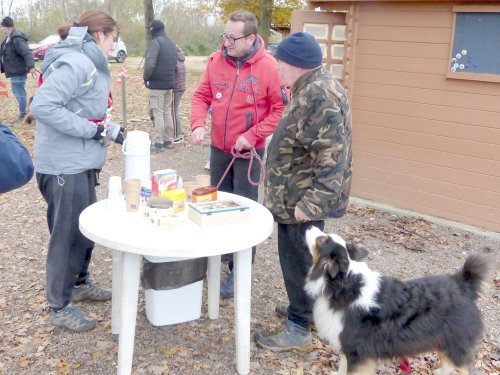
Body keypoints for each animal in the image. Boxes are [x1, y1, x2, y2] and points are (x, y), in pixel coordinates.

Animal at [304, 226, 492, 375]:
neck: (345, 285)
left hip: (456, 344)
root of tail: (464, 284)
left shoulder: (357, 350)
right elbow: (342, 368)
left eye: (321, 240)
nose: (309, 226)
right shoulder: (347, 345)